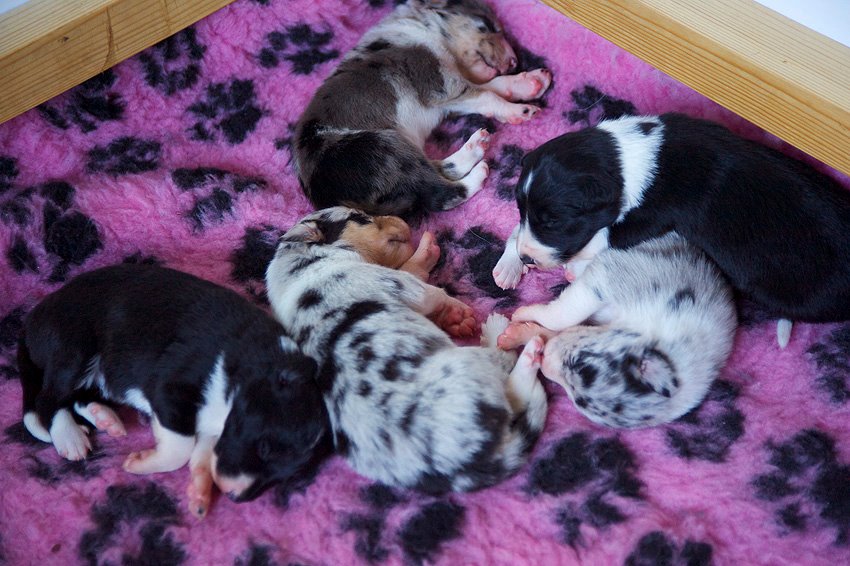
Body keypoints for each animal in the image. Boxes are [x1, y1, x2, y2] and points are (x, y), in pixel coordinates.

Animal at [19, 264, 331, 517]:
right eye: (265, 448)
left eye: (285, 475)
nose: (235, 497)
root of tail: (33, 316)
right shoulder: (171, 389)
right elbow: (181, 447)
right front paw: (141, 463)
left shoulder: (217, 428)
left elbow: (203, 454)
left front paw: (200, 493)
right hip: (74, 348)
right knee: (48, 399)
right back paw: (69, 436)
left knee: (81, 397)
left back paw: (106, 418)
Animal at [265, 207, 548, 493]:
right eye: (360, 217)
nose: (402, 220)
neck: (300, 265)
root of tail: (478, 460)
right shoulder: (400, 283)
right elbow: (427, 286)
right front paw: (454, 304)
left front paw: (453, 317)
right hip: (473, 362)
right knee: (511, 375)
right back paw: (506, 334)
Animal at [293, 0, 551, 219]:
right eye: (488, 26)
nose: (514, 62)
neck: (426, 26)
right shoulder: (439, 82)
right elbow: (487, 94)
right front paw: (519, 110)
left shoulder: (450, 93)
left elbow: (492, 85)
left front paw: (532, 82)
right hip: (381, 146)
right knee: (440, 193)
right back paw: (478, 169)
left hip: (401, 148)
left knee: (436, 169)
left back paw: (476, 146)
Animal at [493, 112, 850, 346]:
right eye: (522, 210)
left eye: (552, 221)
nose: (527, 260)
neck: (624, 160)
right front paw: (512, 261)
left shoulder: (645, 220)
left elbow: (598, 240)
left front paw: (568, 265)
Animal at [498, 234, 737, 428]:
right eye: (580, 364)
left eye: (577, 399)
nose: (544, 359)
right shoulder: (607, 279)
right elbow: (563, 314)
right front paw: (523, 313)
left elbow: (557, 329)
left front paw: (518, 334)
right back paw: (511, 267)